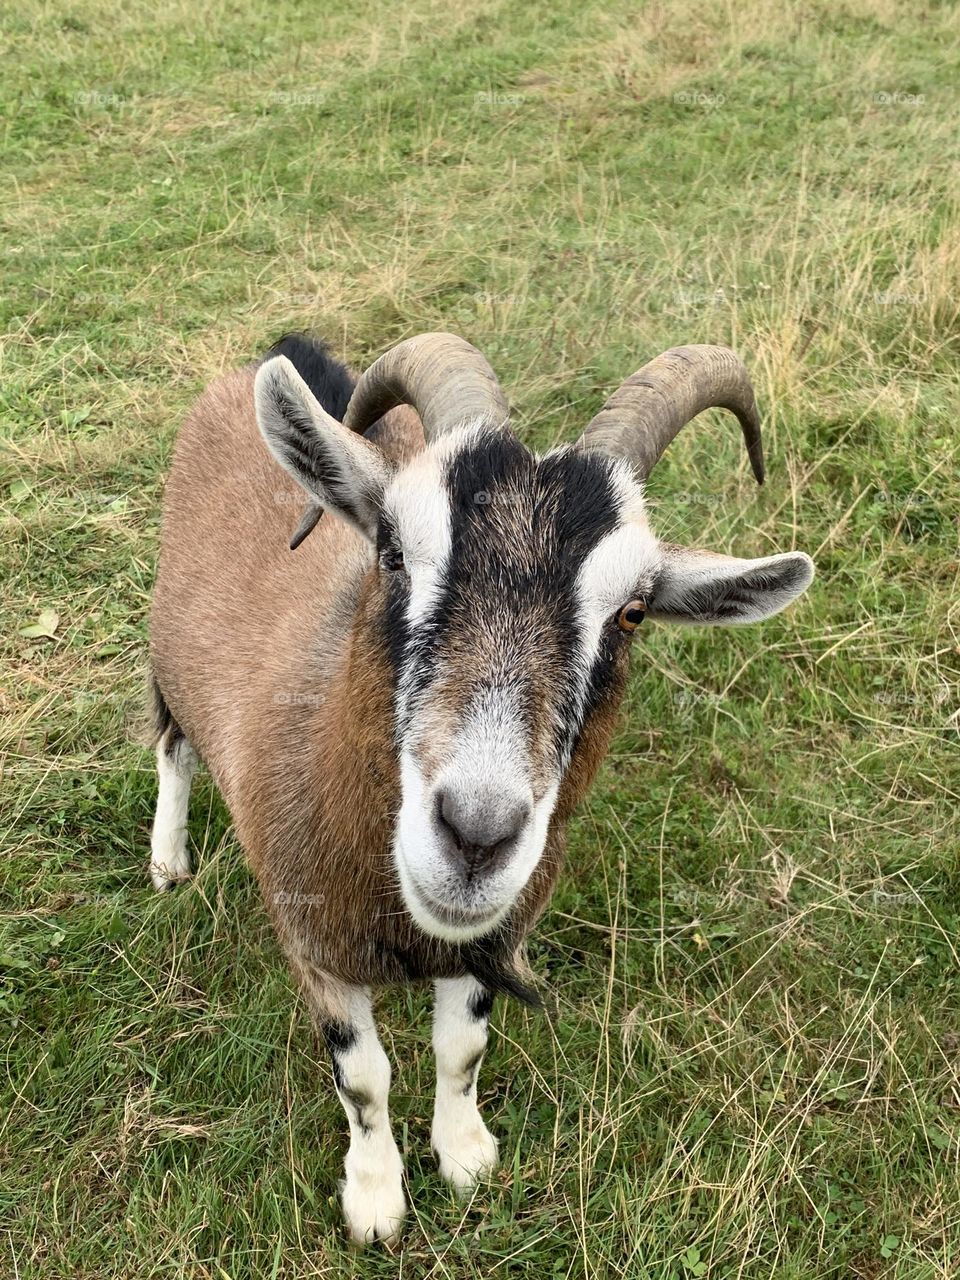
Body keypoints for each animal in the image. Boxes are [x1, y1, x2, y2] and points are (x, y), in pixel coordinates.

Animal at [146, 330, 814, 1239]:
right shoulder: (314, 945)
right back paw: (168, 859)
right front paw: (376, 1199)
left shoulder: (485, 943)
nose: (475, 835)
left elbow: (460, 1048)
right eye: (392, 551)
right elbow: (363, 1078)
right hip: (167, 657)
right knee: (171, 744)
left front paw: (464, 1155)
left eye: (634, 612)